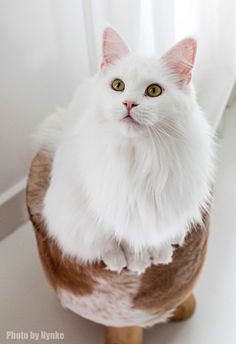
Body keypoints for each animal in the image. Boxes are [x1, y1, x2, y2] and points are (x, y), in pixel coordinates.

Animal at [39, 26, 215, 274]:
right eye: (118, 85)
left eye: (154, 91)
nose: (129, 104)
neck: (140, 155)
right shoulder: (118, 207)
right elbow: (126, 241)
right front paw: (137, 263)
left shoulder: (160, 205)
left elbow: (154, 237)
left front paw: (159, 255)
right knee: (101, 243)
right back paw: (116, 261)